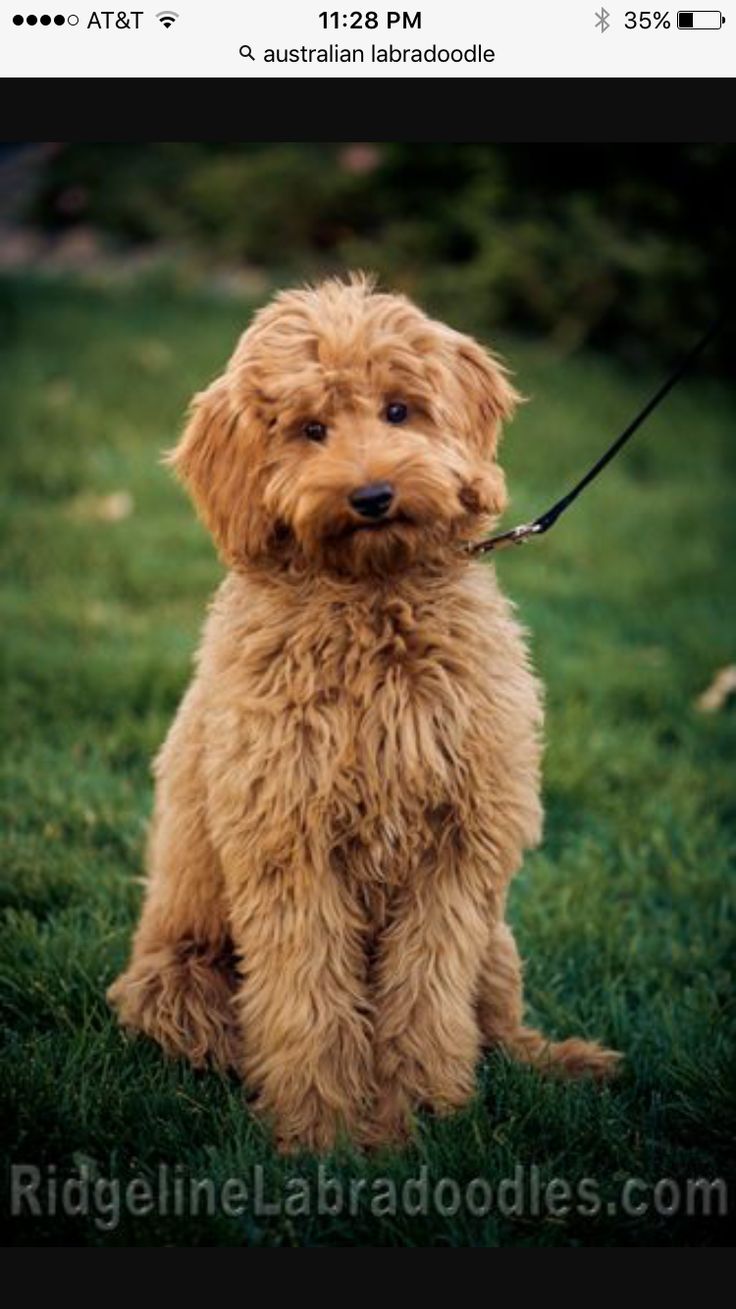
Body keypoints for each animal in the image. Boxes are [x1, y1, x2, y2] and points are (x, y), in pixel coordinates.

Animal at [106, 273, 615, 1146]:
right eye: (310, 428)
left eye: (399, 410)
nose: (372, 494)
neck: (375, 604)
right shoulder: (292, 845)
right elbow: (309, 1001)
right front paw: (328, 1130)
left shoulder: (456, 850)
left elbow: (429, 998)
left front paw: (421, 1111)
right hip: (181, 983)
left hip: (497, 938)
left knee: (500, 1029)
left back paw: (566, 1063)